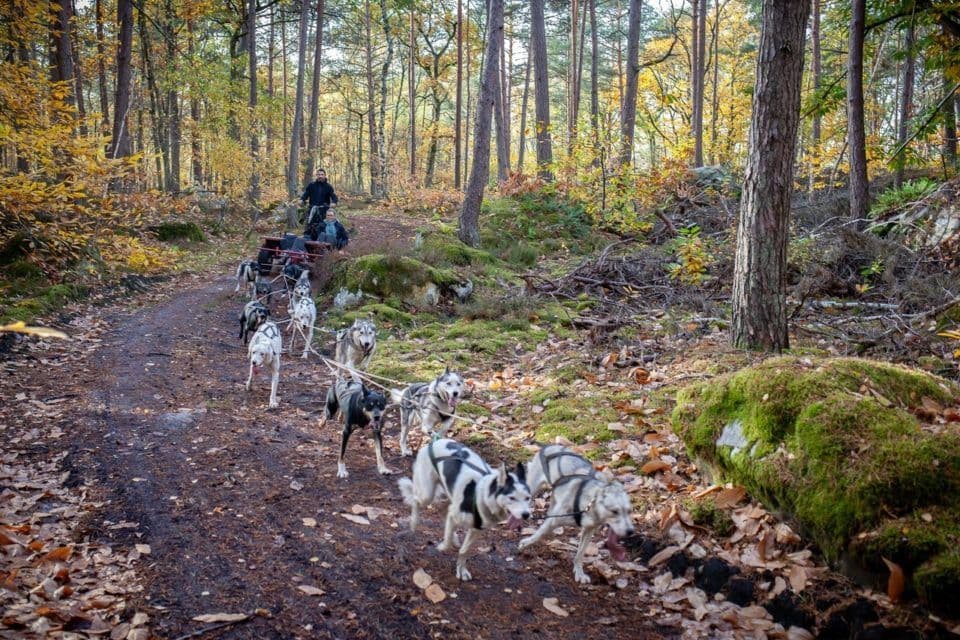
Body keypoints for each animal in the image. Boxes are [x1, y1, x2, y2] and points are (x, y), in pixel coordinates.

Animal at [398, 440, 532, 580]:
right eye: (512, 498)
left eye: (528, 498)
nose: (526, 515)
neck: (480, 494)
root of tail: (434, 441)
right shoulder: (456, 515)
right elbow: (447, 543)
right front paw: (443, 546)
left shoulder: (476, 529)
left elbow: (464, 550)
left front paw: (461, 570)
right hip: (427, 494)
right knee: (416, 501)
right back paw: (414, 523)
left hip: (448, 495)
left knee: (444, 511)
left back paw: (454, 536)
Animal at [516, 444, 636, 584]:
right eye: (614, 511)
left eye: (629, 511)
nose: (630, 531)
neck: (589, 501)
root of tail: (549, 445)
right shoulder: (554, 520)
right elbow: (539, 534)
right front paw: (526, 543)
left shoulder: (588, 530)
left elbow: (580, 553)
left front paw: (579, 572)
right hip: (532, 488)